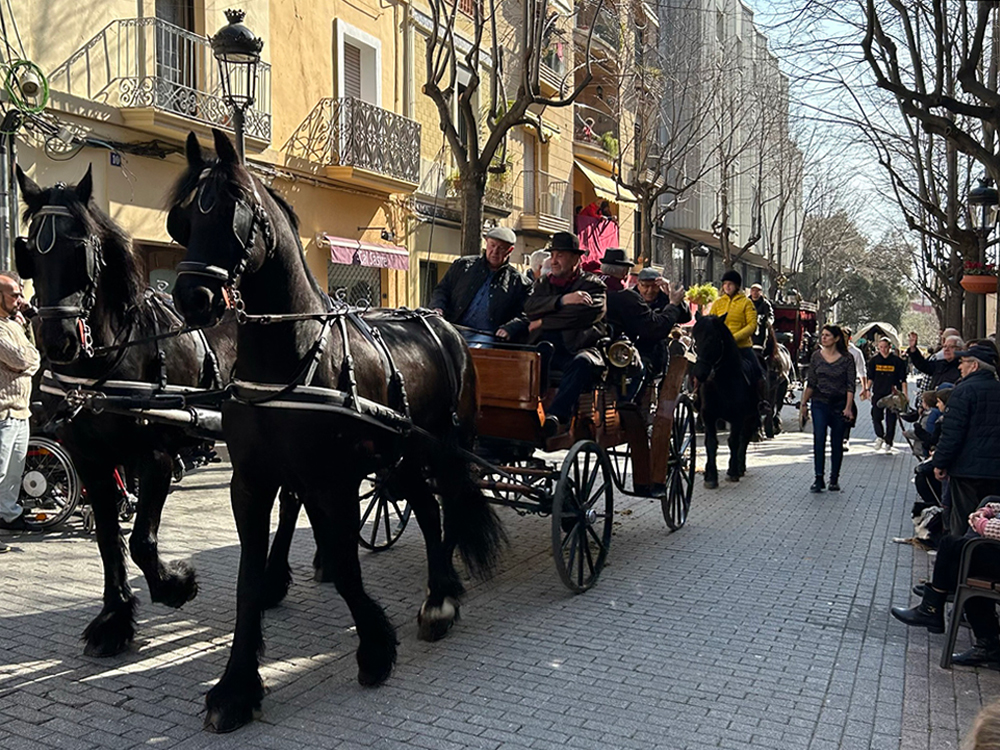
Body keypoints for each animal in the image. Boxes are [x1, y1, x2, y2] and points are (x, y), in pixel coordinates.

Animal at [14, 169, 300, 656]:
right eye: (31, 250)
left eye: (80, 247)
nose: (57, 342)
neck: (111, 362)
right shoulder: (91, 461)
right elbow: (109, 539)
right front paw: (114, 619)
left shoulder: (156, 457)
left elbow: (141, 540)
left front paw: (174, 585)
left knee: (293, 497)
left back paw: (275, 576)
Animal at [169, 131, 508, 736]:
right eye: (182, 220)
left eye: (230, 211)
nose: (191, 297)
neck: (290, 356)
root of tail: (445, 326)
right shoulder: (251, 484)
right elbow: (248, 581)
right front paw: (237, 688)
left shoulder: (333, 483)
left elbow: (349, 569)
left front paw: (374, 650)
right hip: (403, 455)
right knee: (426, 510)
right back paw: (439, 593)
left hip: (445, 448)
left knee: (446, 510)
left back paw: (442, 598)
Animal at [692, 316, 760, 488]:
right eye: (695, 340)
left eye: (712, 339)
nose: (699, 373)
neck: (722, 383)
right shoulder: (708, 416)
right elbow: (711, 443)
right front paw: (710, 477)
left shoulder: (738, 417)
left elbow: (734, 441)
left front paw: (733, 471)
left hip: (751, 416)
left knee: (744, 439)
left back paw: (740, 466)